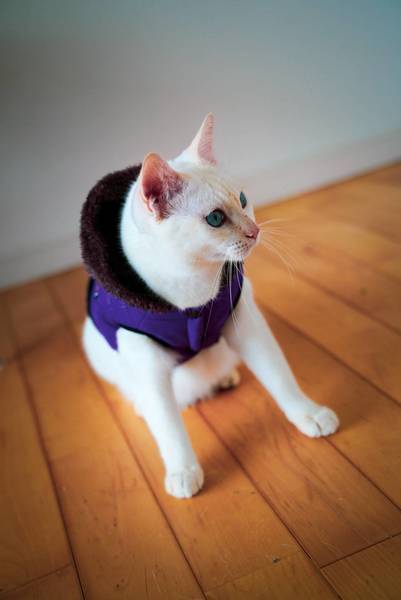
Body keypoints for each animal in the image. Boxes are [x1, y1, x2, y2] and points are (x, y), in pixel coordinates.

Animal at [82, 114, 339, 499]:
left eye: (243, 199)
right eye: (215, 219)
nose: (255, 231)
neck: (192, 296)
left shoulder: (249, 329)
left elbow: (280, 378)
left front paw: (308, 414)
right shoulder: (147, 364)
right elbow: (169, 428)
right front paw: (183, 471)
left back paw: (225, 378)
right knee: (145, 399)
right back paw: (144, 406)